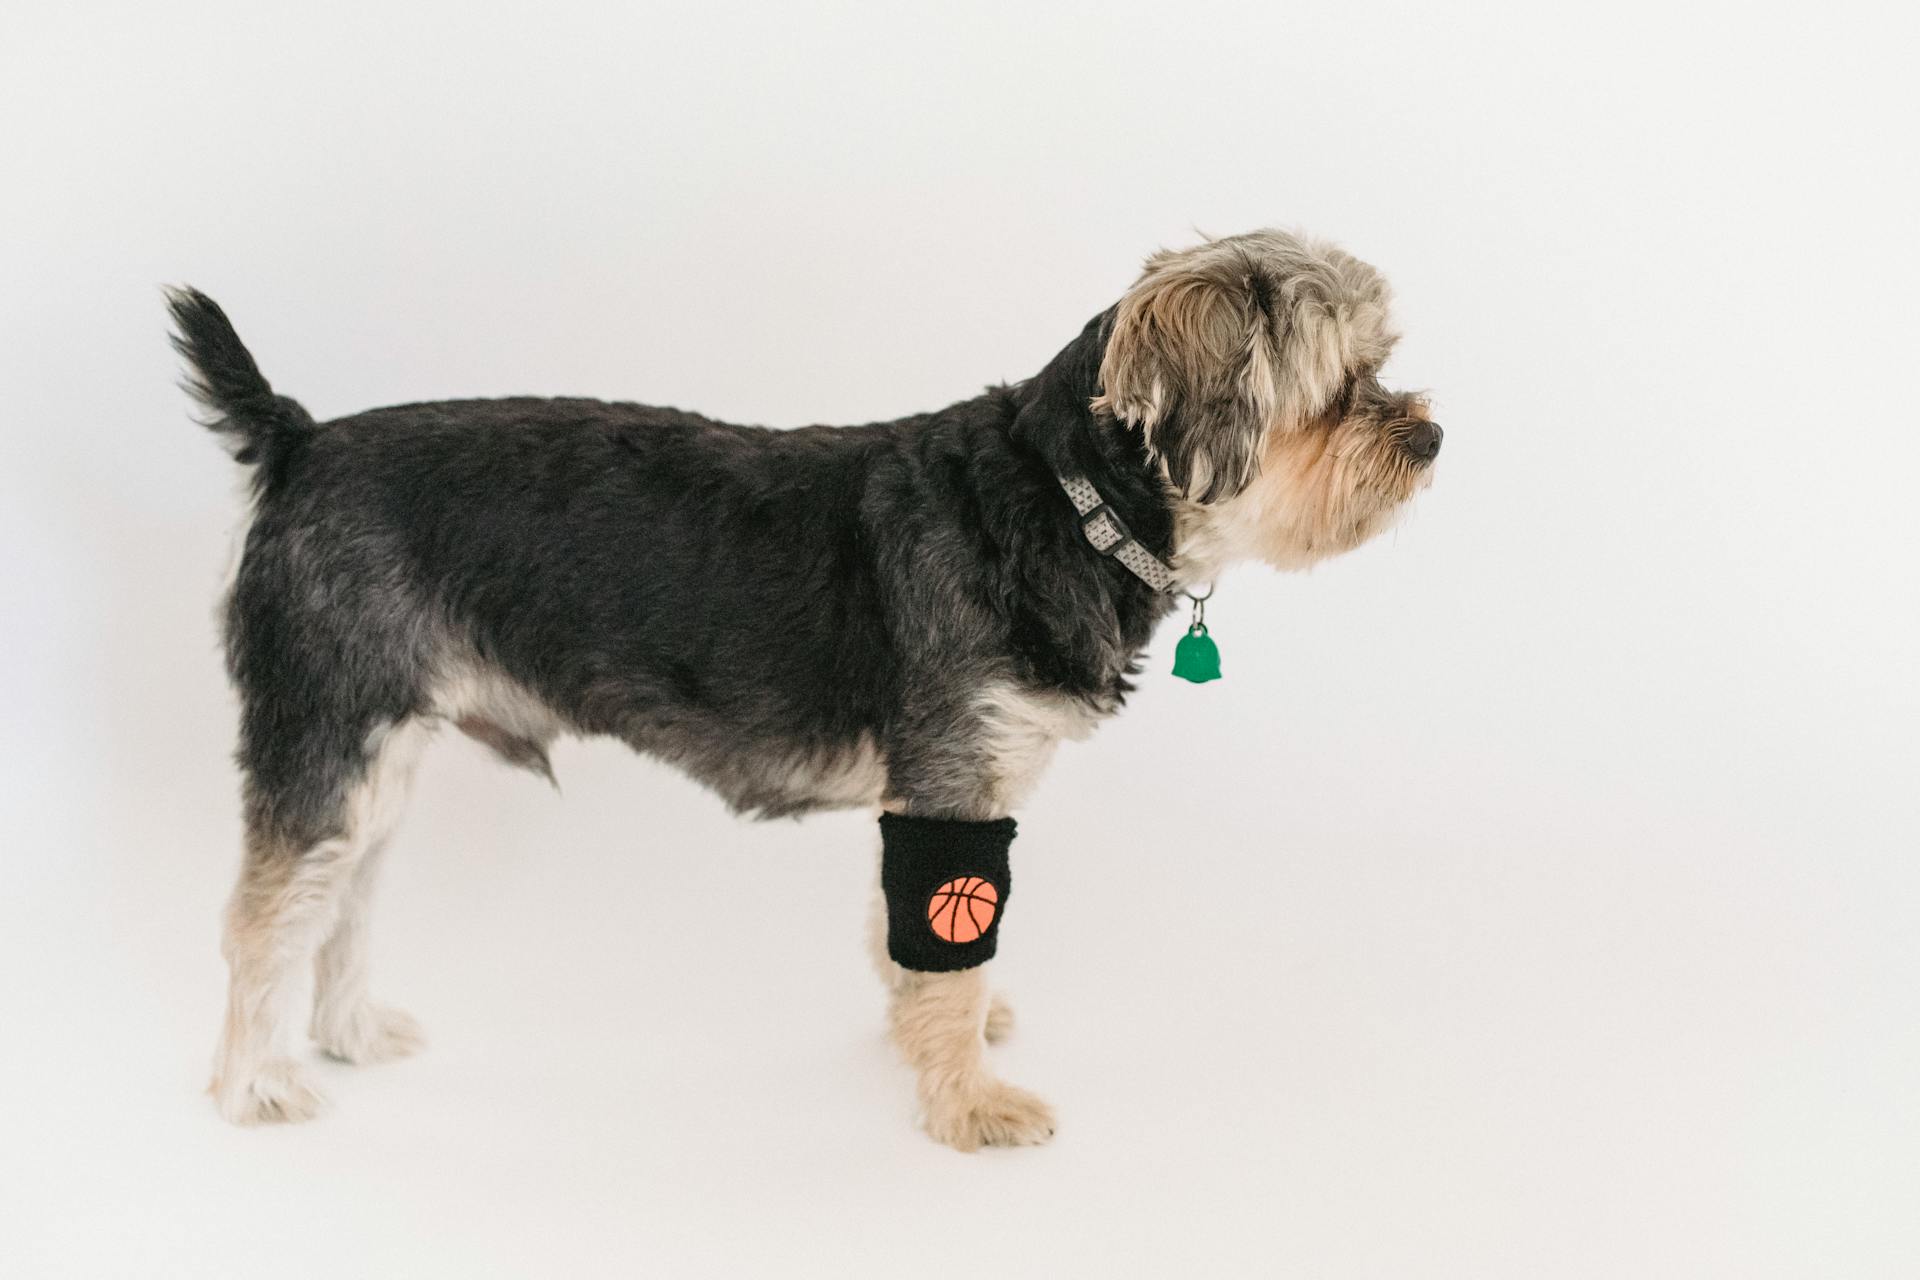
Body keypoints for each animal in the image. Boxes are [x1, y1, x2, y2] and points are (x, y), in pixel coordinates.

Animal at [172, 230, 1443, 1151]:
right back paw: (256, 1085)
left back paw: (345, 1033)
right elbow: (947, 952)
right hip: (328, 732)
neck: (1060, 500)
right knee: (261, 915)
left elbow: (913, 940)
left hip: (375, 755)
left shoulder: (934, 804)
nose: (1429, 435)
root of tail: (299, 442)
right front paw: (970, 1099)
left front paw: (949, 1030)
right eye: (1344, 384)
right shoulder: (957, 789)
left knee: (338, 902)